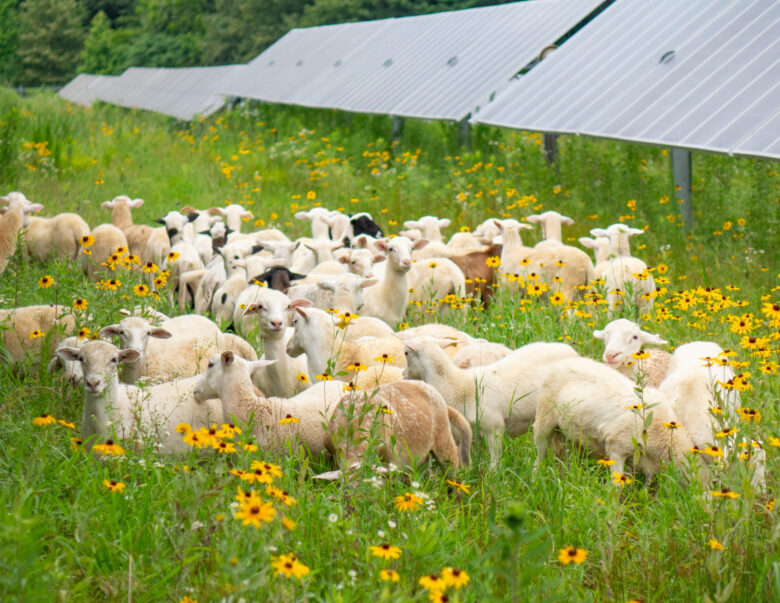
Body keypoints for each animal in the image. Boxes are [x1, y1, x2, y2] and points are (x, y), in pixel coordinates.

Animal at [402, 338, 579, 467]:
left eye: (406, 353)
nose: (403, 374)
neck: (459, 385)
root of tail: (569, 349)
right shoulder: (471, 433)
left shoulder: (494, 428)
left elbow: (495, 461)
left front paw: (492, 477)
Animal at [533, 356, 696, 481]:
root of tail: (564, 361)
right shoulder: (617, 448)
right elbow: (616, 486)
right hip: (544, 418)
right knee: (540, 451)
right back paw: (536, 477)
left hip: (569, 433)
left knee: (563, 456)